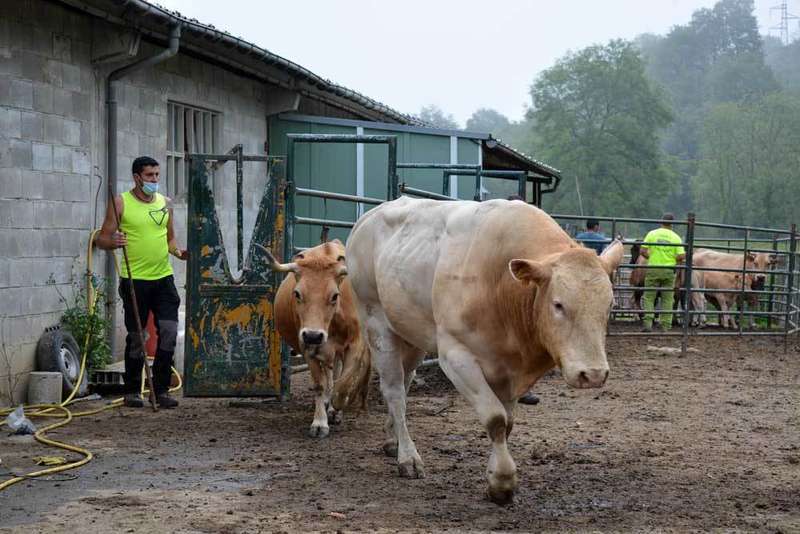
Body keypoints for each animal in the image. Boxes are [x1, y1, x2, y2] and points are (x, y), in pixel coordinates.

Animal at [261, 240, 371, 438]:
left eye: (335, 295)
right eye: (297, 294)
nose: (313, 334)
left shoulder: (355, 345)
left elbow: (344, 384)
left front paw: (337, 407)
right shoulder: (307, 347)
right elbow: (320, 384)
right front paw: (320, 422)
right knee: (329, 374)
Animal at [345, 197, 624, 504]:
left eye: (610, 305)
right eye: (558, 304)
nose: (594, 374)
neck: (500, 284)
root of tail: (366, 219)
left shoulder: (508, 369)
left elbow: (508, 422)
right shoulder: (456, 356)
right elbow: (495, 419)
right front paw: (502, 482)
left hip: (411, 332)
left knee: (404, 383)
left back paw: (392, 438)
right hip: (376, 321)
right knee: (394, 391)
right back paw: (408, 457)